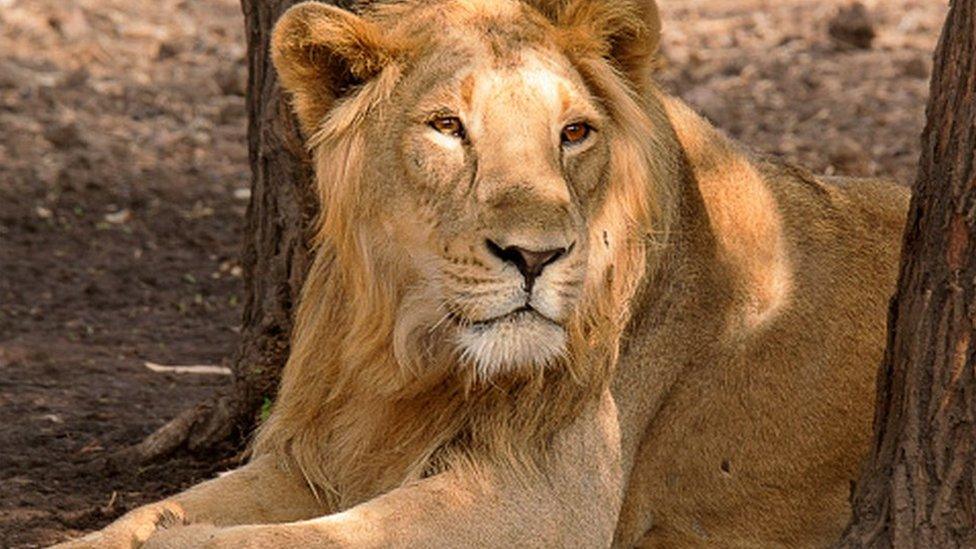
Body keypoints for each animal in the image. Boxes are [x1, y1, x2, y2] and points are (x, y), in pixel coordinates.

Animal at [57, 0, 912, 544]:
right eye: (446, 126)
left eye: (575, 132)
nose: (536, 256)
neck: (412, 356)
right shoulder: (320, 455)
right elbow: (140, 516)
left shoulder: (542, 498)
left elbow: (314, 539)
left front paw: (183, 537)